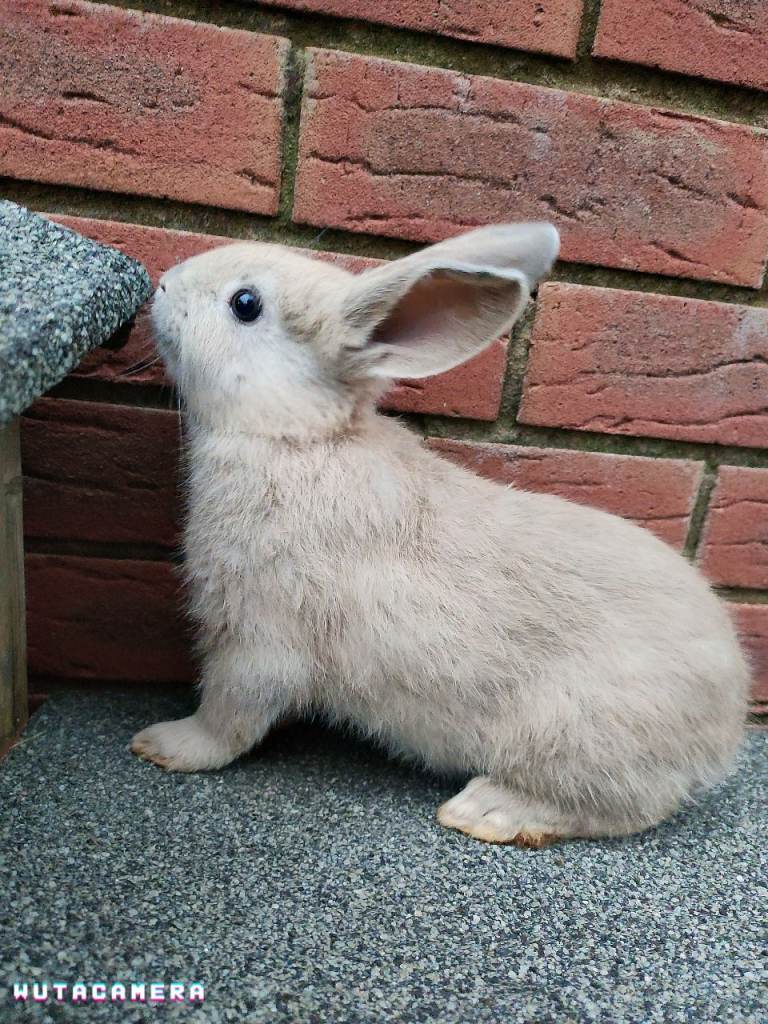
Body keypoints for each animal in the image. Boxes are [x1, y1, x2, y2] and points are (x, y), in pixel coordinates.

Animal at [131, 222, 750, 847]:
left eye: (246, 303)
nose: (163, 283)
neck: (298, 437)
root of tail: (727, 723)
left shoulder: (256, 638)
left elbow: (228, 717)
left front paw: (164, 745)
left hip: (579, 737)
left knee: (626, 807)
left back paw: (488, 811)